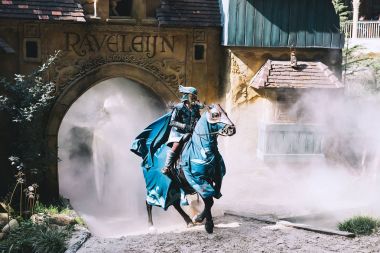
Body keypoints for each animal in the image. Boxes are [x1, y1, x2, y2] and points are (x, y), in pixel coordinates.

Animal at [132, 103, 236, 233]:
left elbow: (211, 199)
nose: (232, 129)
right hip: (155, 186)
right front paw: (207, 224)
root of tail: (146, 158)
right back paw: (151, 226)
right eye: (215, 114)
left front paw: (199, 218)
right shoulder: (198, 180)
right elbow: (209, 200)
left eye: (226, 113)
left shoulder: (216, 179)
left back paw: (188, 221)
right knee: (148, 202)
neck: (201, 149)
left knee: (175, 204)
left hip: (172, 187)